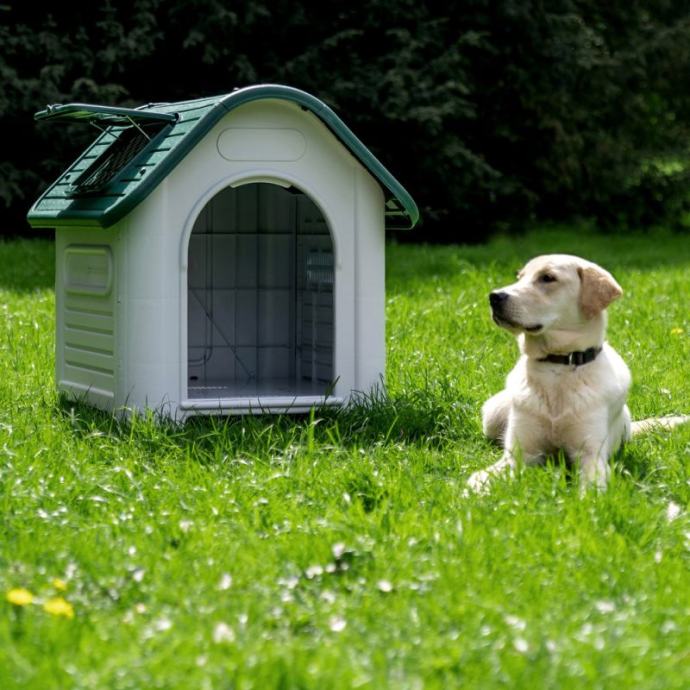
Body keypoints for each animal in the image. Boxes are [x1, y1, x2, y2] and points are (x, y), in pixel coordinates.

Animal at [464, 255, 684, 492]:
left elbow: (590, 491)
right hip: (493, 412)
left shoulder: (591, 455)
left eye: (547, 278)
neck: (557, 367)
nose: (494, 297)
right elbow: (483, 476)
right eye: (519, 277)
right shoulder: (519, 455)